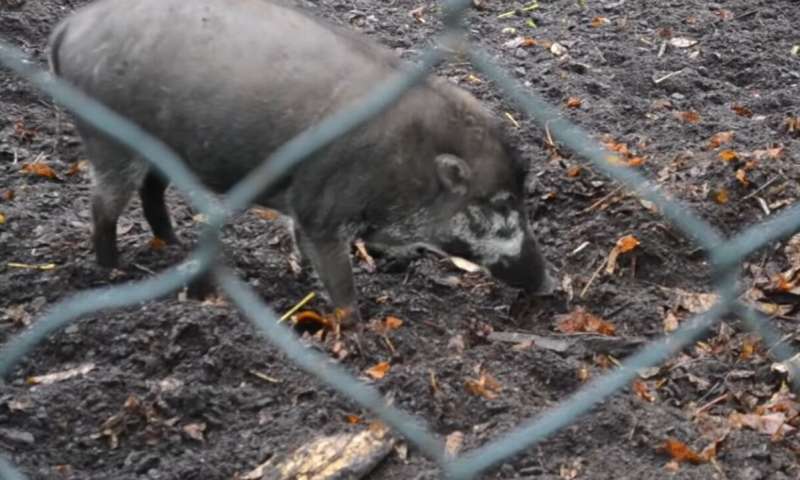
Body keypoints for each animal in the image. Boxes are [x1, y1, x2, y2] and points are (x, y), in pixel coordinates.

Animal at [47, 0, 552, 322]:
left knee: (151, 191)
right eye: (501, 204)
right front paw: (356, 329)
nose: (548, 284)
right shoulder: (322, 210)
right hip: (109, 142)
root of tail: (67, 30)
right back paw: (113, 270)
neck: (412, 163)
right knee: (103, 205)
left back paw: (171, 244)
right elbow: (338, 279)